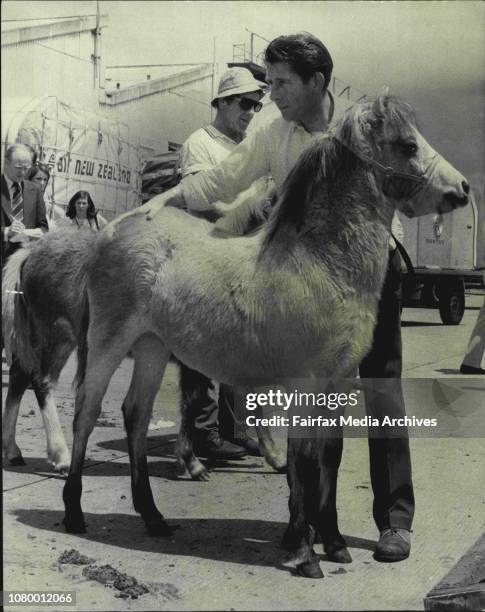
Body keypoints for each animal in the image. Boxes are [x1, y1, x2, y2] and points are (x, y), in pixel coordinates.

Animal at [59, 93, 466, 552]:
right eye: (408, 145)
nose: (462, 188)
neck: (320, 261)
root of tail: (110, 233)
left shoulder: (336, 383)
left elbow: (328, 458)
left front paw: (331, 540)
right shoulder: (307, 383)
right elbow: (304, 460)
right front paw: (303, 541)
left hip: (152, 348)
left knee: (136, 415)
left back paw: (154, 517)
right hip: (108, 342)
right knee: (87, 411)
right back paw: (74, 512)